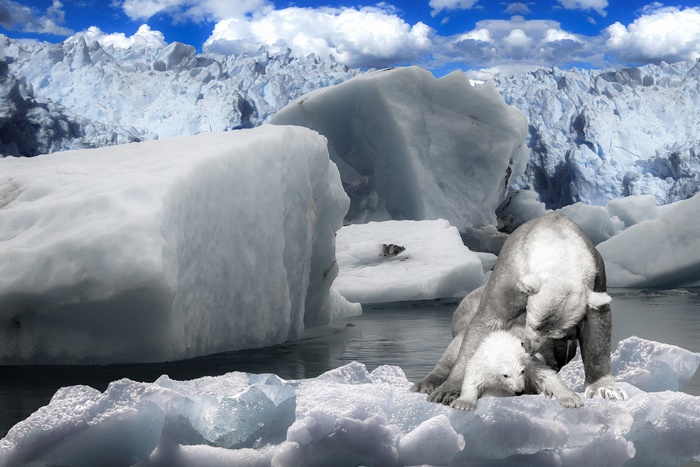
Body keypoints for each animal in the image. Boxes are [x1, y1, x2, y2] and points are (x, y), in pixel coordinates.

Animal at [412, 212, 627, 408]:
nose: (528, 347)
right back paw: (425, 384)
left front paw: (606, 389)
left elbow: (597, 327)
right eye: (533, 323)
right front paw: (448, 392)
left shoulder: (597, 275)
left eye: (559, 334)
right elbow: (486, 323)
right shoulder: (510, 275)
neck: (557, 237)